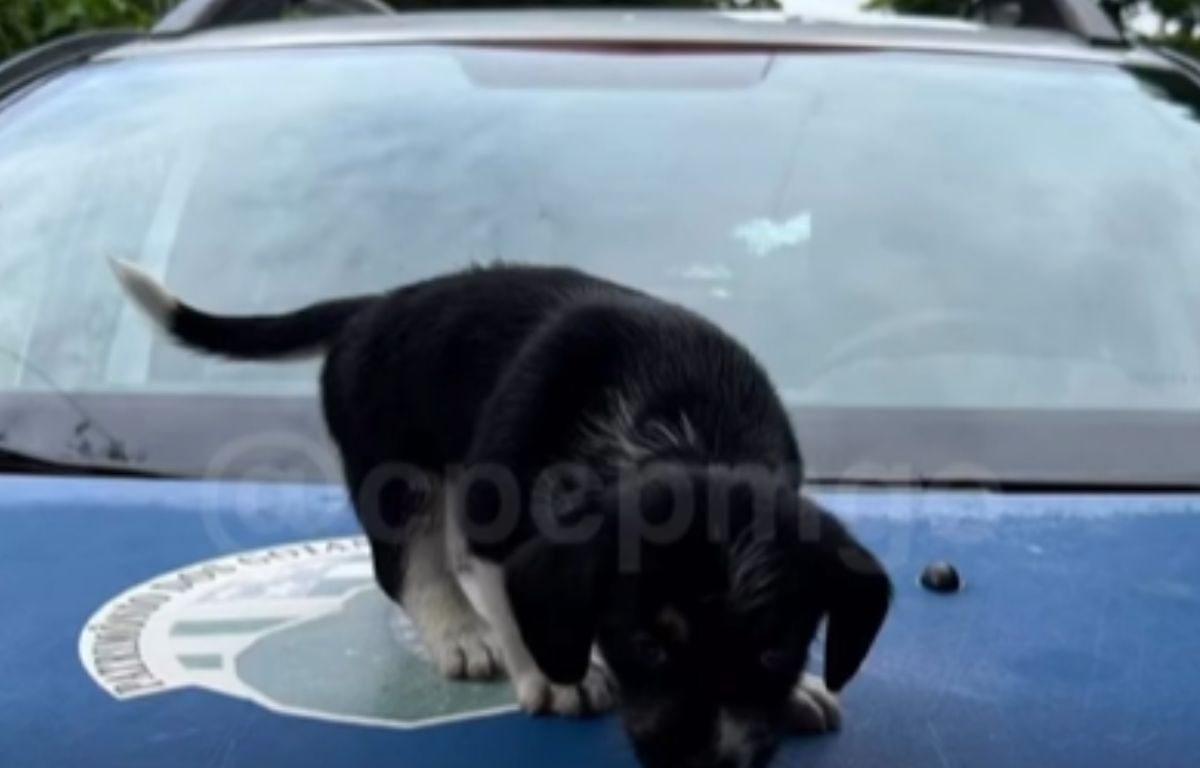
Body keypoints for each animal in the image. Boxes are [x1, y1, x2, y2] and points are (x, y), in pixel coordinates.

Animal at [112, 259, 888, 768]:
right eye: (646, 645)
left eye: (775, 652)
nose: (714, 765)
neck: (682, 430)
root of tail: (377, 305)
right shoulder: (495, 515)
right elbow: (514, 598)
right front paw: (557, 676)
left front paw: (801, 690)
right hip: (397, 474)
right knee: (408, 567)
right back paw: (461, 632)